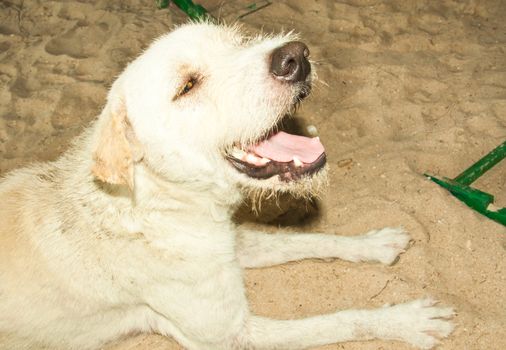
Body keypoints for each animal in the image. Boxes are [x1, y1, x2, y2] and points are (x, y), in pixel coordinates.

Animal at [0, 23, 454, 348]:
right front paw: (406, 321)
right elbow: (340, 321)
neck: (154, 206)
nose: (295, 56)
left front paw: (373, 243)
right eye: (187, 85)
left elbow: (309, 240)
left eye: (236, 41)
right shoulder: (232, 336)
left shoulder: (232, 243)